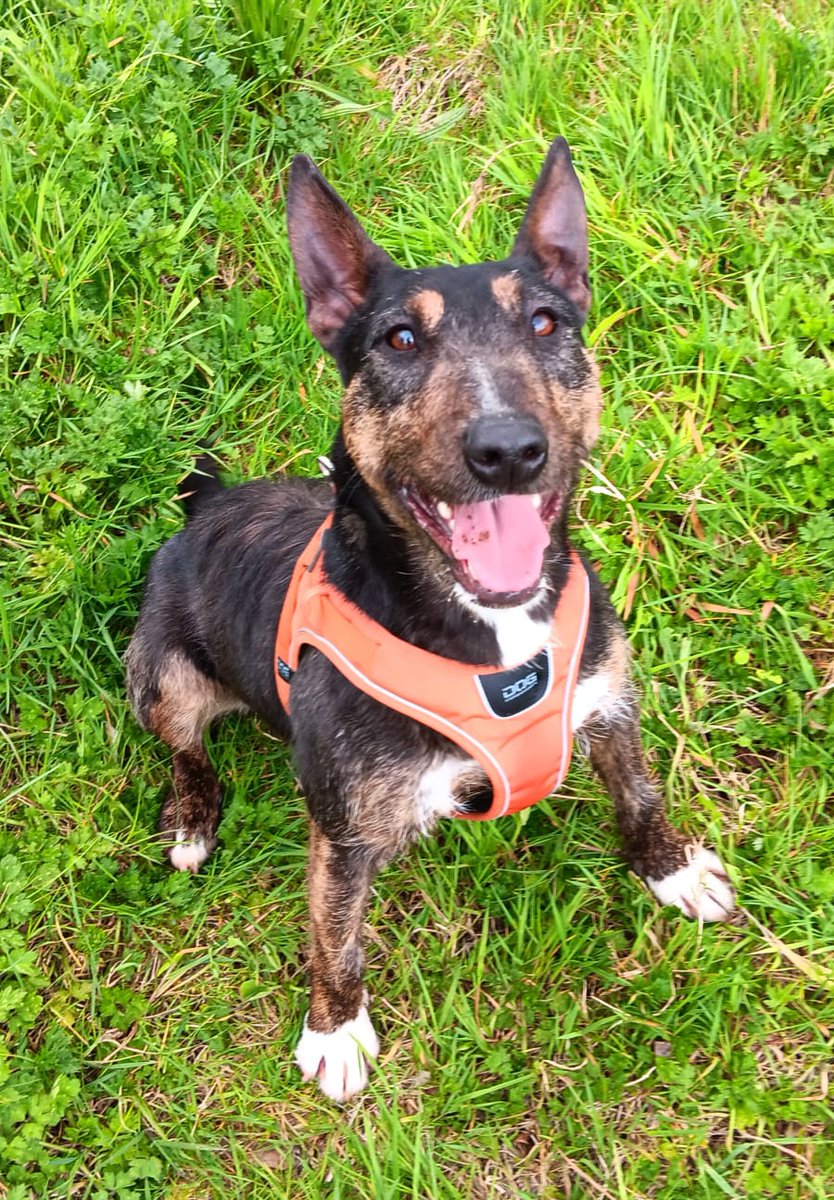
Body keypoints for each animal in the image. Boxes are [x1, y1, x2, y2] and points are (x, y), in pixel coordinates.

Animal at [127, 136, 734, 1099]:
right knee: (185, 745)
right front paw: (335, 1030)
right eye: (399, 339)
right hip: (161, 675)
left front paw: (670, 871)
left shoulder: (609, 705)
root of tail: (206, 505)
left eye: (548, 324)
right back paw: (192, 818)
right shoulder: (342, 832)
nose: (508, 449)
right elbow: (335, 935)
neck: (491, 630)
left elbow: (638, 793)